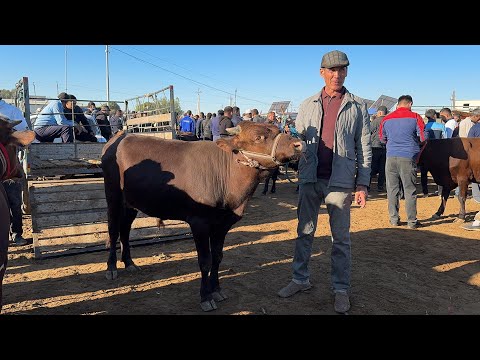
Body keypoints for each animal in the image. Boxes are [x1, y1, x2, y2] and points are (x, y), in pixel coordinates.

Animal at [101, 121, 304, 312]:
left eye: (278, 130)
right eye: (259, 137)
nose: (298, 144)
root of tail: (121, 135)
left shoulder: (222, 225)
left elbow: (217, 257)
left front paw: (217, 290)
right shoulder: (199, 223)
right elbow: (205, 261)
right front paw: (205, 297)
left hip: (131, 203)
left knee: (125, 228)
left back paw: (129, 262)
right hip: (113, 195)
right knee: (113, 229)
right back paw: (111, 268)